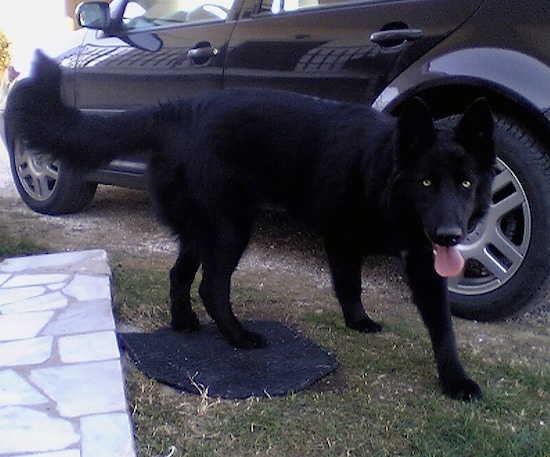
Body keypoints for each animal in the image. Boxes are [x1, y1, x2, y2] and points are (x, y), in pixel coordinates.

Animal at [5, 50, 496, 400]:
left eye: (466, 183)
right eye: (426, 182)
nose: (451, 236)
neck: (380, 169)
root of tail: (178, 110)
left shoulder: (423, 260)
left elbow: (442, 326)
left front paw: (454, 379)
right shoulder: (341, 240)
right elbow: (350, 285)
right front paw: (358, 320)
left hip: (200, 228)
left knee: (179, 274)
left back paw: (184, 322)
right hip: (231, 225)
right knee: (211, 285)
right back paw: (239, 337)